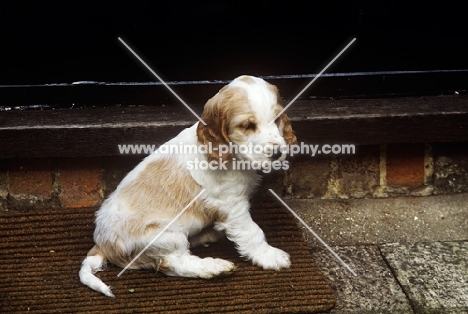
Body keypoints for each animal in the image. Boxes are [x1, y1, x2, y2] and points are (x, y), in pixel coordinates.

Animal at [78, 75, 294, 296]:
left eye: (277, 119)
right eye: (248, 125)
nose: (277, 153)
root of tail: (101, 243)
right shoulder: (231, 205)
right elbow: (252, 232)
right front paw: (269, 256)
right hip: (165, 237)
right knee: (173, 263)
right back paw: (214, 267)